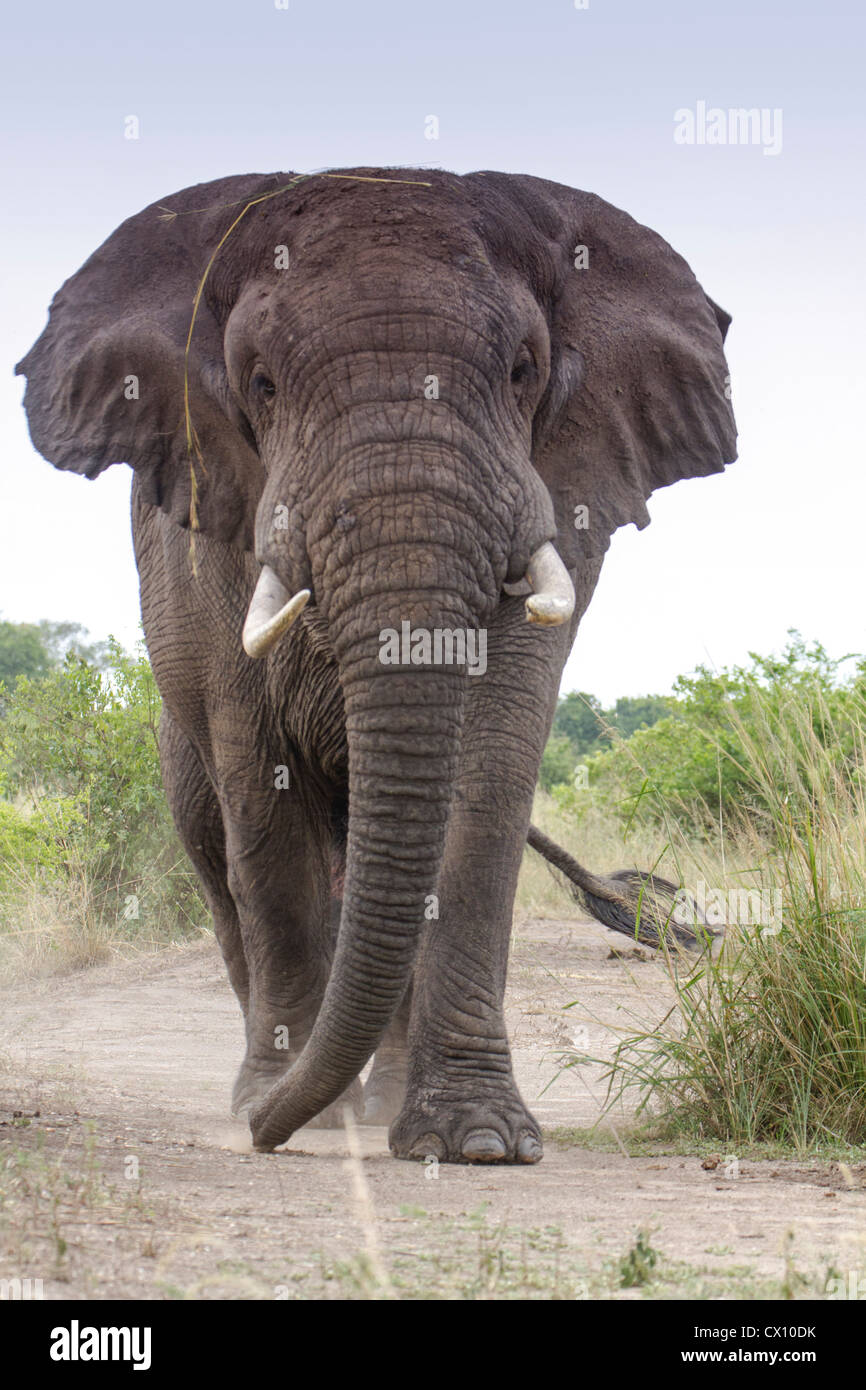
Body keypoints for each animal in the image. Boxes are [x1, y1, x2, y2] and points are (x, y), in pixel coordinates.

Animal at [16, 167, 736, 1164]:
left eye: (523, 372)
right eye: (262, 384)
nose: (266, 1140)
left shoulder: (567, 490)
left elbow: (489, 776)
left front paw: (478, 1141)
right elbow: (263, 797)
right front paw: (281, 1108)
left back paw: (376, 1100)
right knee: (225, 862)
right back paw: (288, 1095)